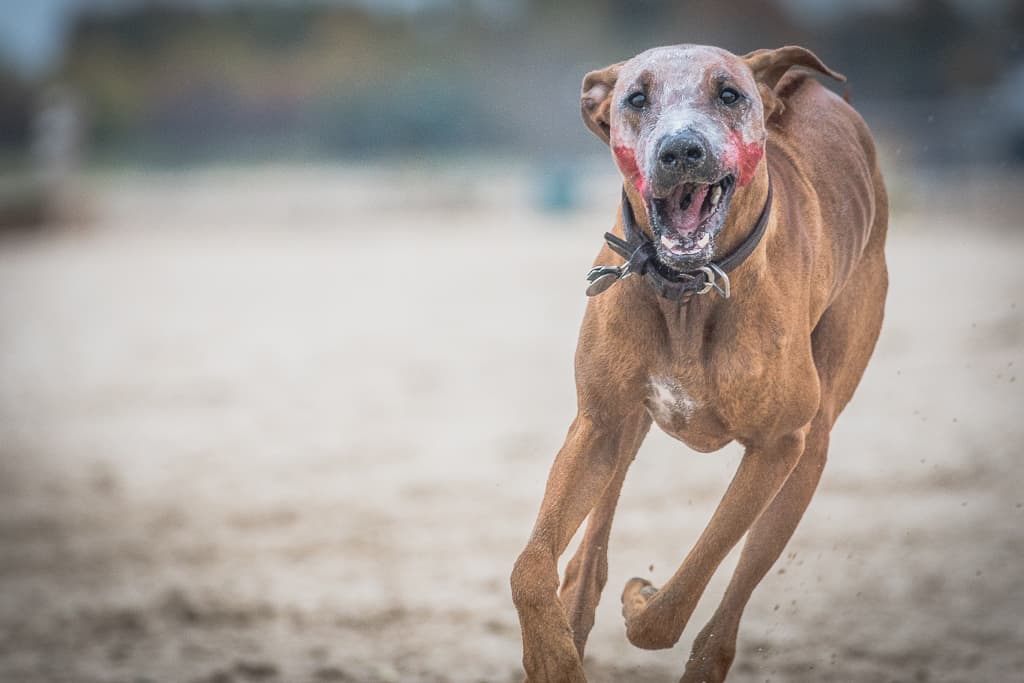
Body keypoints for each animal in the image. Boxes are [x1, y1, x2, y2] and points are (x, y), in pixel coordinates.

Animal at [509, 45, 888, 679]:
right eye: (636, 98)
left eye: (728, 94)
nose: (681, 150)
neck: (687, 289)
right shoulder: (597, 424)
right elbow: (530, 569)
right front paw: (551, 657)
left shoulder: (778, 446)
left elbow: (683, 593)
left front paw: (644, 603)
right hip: (625, 429)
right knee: (589, 555)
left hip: (810, 448)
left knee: (731, 602)